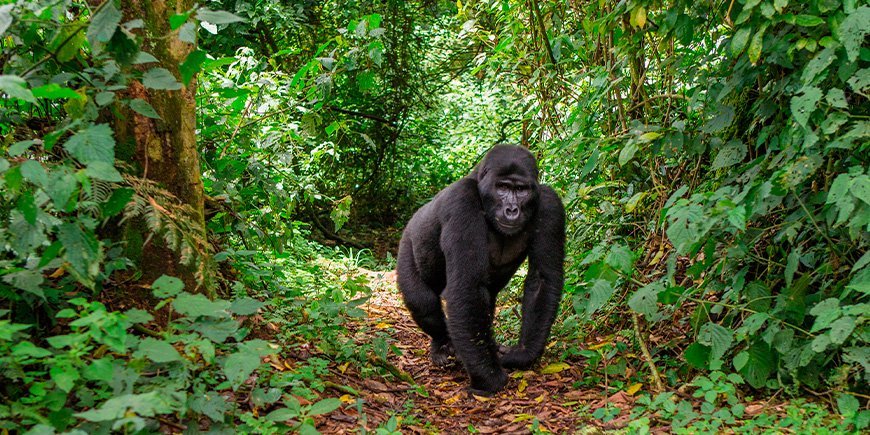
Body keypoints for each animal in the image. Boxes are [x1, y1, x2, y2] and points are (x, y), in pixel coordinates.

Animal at [398, 146, 568, 396]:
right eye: (502, 187)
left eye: (521, 190)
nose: (511, 210)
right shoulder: (461, 200)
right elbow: (466, 286)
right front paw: (489, 378)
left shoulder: (550, 203)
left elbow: (542, 279)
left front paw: (522, 354)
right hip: (407, 242)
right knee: (422, 301)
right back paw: (442, 345)